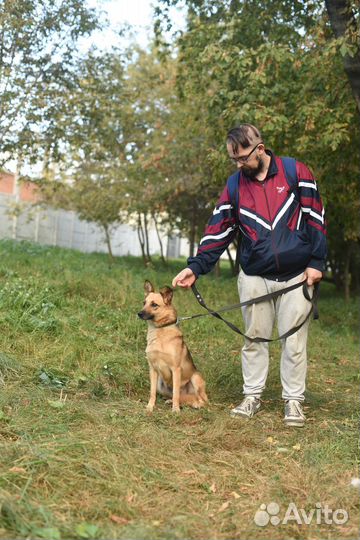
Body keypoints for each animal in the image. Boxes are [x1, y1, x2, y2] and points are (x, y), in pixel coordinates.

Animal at [139, 280, 210, 412]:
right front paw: (150, 407)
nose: (139, 313)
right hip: (160, 384)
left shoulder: (176, 369)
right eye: (144, 303)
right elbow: (152, 392)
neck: (160, 331)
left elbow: (176, 392)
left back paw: (195, 404)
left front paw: (175, 410)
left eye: (154, 304)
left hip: (196, 377)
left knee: (202, 400)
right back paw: (171, 401)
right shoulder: (152, 369)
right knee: (182, 397)